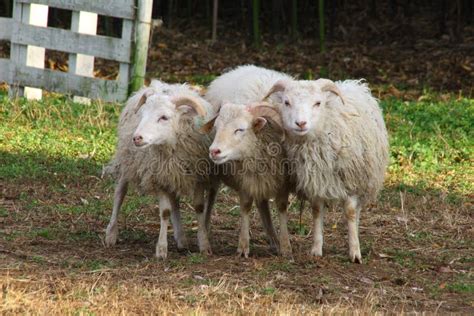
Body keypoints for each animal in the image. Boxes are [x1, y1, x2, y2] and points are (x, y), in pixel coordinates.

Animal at [103, 79, 218, 260]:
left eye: (164, 117)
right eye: (143, 115)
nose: (137, 138)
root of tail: (157, 84)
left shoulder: (198, 176)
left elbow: (199, 207)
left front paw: (204, 244)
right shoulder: (158, 178)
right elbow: (164, 212)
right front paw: (162, 249)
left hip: (171, 174)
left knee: (175, 201)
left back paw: (181, 239)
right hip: (128, 161)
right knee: (119, 194)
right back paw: (111, 233)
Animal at [202, 65, 294, 258]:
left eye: (240, 129)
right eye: (217, 127)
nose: (214, 151)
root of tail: (238, 68)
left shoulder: (282, 179)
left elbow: (282, 208)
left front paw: (285, 246)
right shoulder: (243, 179)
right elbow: (245, 206)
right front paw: (243, 246)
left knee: (262, 203)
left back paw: (274, 240)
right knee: (212, 195)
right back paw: (205, 228)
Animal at [262, 77, 388, 262]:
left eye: (318, 103)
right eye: (286, 102)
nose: (301, 123)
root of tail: (354, 83)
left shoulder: (350, 180)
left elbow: (350, 212)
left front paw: (354, 252)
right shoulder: (317, 181)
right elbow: (316, 211)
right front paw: (316, 248)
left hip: (364, 181)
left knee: (357, 211)